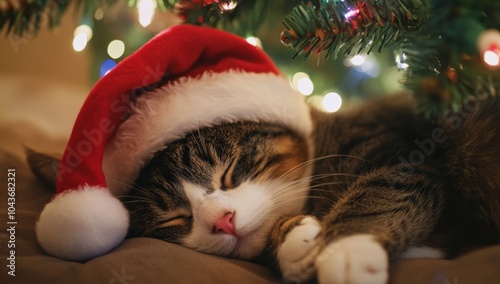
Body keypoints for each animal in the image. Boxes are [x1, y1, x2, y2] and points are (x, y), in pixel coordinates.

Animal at [28, 93, 500, 284]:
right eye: (174, 219)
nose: (223, 221)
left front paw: (344, 250)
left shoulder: (406, 148)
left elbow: (380, 189)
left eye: (230, 173)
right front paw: (294, 241)